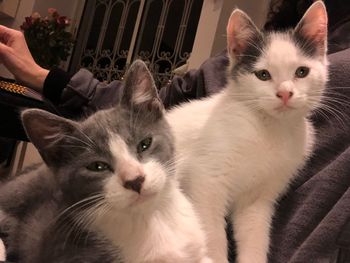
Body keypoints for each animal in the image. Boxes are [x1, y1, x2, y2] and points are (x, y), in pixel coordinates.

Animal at [167, 2, 328, 263]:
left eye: (301, 72)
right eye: (263, 75)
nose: (285, 93)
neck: (270, 130)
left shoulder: (258, 202)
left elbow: (255, 237)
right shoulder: (204, 181)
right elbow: (212, 233)